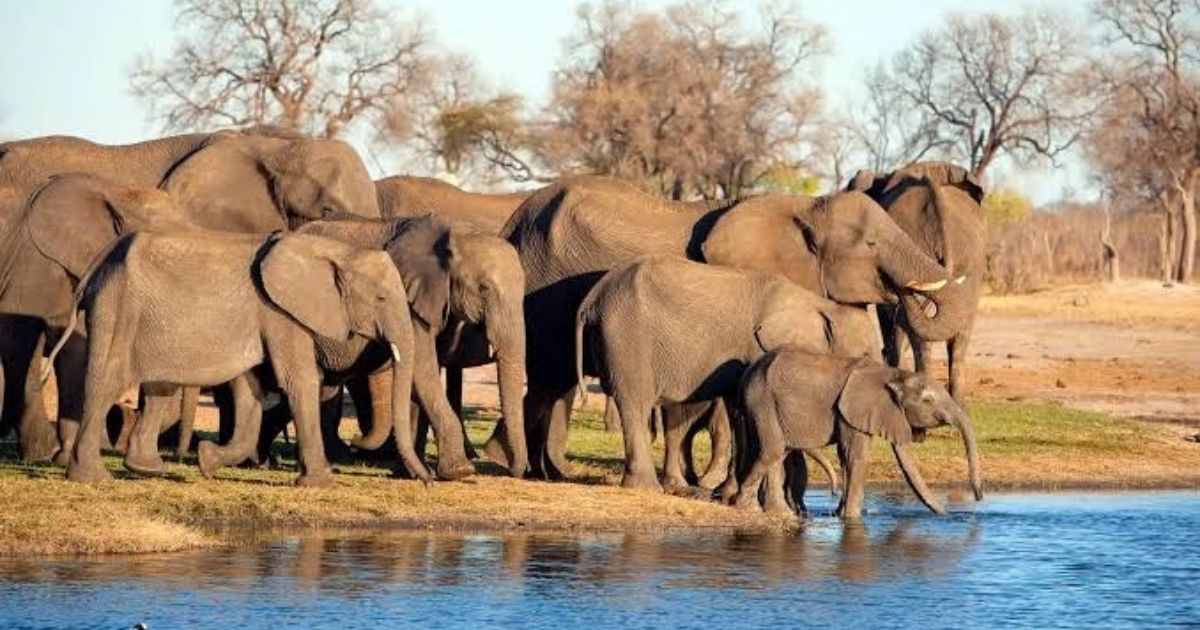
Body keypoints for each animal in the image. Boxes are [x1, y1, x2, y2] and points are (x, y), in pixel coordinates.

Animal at [45, 229, 416, 486]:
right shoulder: (281, 314)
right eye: (381, 298)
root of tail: (97, 264)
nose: (424, 479)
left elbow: (251, 391)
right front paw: (322, 484)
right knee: (109, 382)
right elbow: (298, 381)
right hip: (119, 308)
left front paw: (207, 462)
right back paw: (92, 478)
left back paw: (149, 469)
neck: (335, 248)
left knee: (158, 388)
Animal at [574, 255, 882, 491]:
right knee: (635, 404)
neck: (821, 306)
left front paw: (729, 492)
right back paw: (647, 488)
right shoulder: (757, 348)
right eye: (866, 355)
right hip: (627, 337)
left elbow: (738, 410)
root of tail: (592, 298)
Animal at [735, 349, 983, 518]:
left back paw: (778, 513)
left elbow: (846, 457)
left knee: (778, 453)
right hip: (762, 399)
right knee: (772, 450)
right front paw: (851, 518)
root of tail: (749, 371)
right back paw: (747, 507)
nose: (979, 497)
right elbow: (856, 456)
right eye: (928, 400)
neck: (894, 373)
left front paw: (840, 514)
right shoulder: (853, 410)